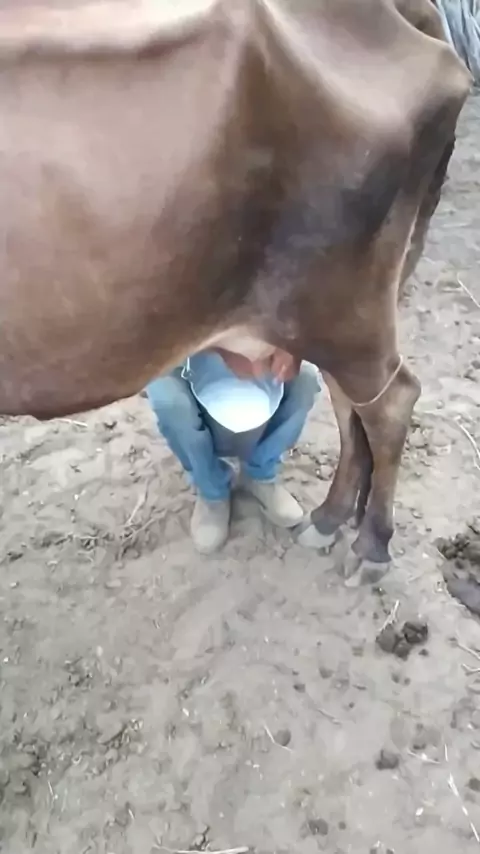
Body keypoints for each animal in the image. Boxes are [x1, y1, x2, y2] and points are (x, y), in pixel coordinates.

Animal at [0, 0, 470, 584]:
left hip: (342, 307)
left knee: (392, 404)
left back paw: (372, 547)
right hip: (329, 312)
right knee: (352, 405)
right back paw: (329, 518)